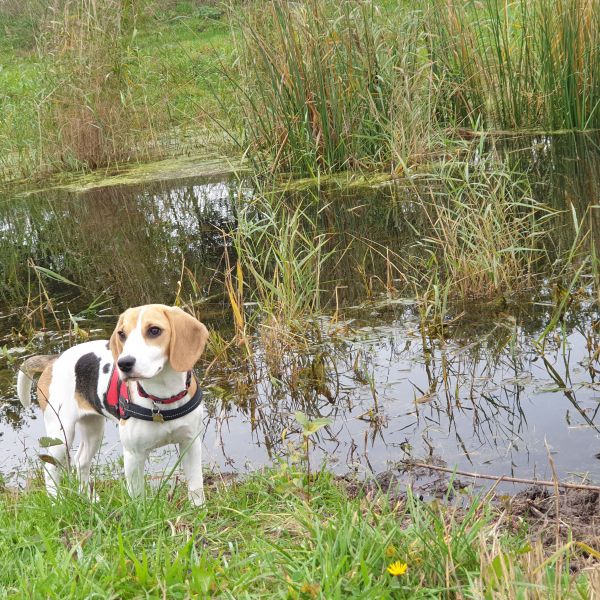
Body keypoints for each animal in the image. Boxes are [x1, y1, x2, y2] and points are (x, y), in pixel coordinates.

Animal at [17, 304, 209, 506]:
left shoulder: (190, 443)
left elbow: (196, 487)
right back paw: (56, 500)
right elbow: (137, 497)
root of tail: (54, 359)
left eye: (154, 330)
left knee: (81, 461)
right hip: (61, 434)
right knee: (49, 467)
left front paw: (198, 510)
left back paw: (89, 497)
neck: (162, 397)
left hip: (93, 430)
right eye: (122, 334)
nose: (124, 363)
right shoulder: (133, 454)